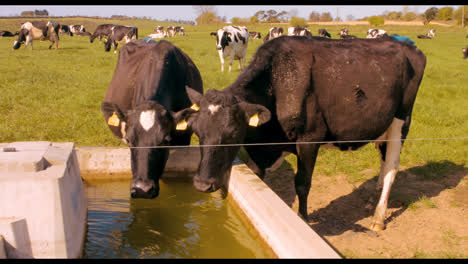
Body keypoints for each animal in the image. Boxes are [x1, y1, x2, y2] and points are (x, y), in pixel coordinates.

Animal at [174, 34, 426, 231]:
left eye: (233, 133)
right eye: (197, 132)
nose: (202, 184)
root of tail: (404, 43)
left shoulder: (309, 140)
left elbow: (303, 183)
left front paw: (303, 219)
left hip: (401, 121)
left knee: (392, 167)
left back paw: (379, 216)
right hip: (381, 125)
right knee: (383, 160)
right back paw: (374, 196)